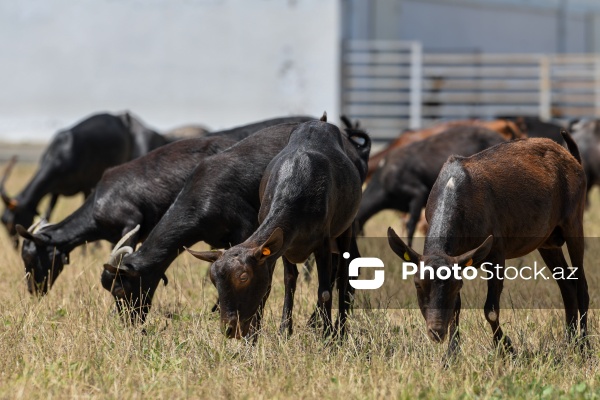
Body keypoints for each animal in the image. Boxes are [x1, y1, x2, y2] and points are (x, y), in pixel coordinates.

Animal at [386, 131, 588, 360]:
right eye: (418, 284)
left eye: (456, 285)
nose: (436, 332)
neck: (456, 189)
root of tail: (571, 157)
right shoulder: (458, 257)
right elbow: (457, 307)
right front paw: (451, 355)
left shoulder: (496, 252)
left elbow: (490, 309)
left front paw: (507, 349)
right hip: (548, 242)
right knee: (567, 284)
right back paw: (569, 342)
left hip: (574, 222)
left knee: (581, 285)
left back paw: (583, 346)